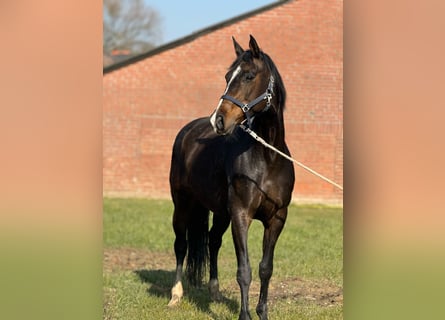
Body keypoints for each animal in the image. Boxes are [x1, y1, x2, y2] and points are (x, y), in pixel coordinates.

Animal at [168, 35, 294, 320]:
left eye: (248, 76)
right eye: (227, 76)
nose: (218, 120)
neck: (268, 158)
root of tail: (187, 130)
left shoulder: (277, 218)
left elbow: (265, 268)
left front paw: (262, 313)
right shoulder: (241, 215)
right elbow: (244, 271)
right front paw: (245, 316)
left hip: (220, 212)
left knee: (213, 241)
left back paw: (214, 292)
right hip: (182, 203)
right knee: (181, 244)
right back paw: (175, 295)